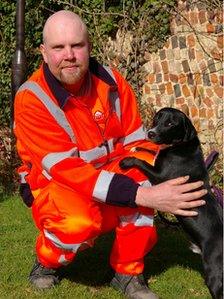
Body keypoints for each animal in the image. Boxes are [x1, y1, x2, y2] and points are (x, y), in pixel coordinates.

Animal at [120, 108, 223, 299]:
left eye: (170, 123)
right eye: (157, 118)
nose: (151, 133)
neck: (180, 145)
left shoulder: (161, 177)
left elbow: (141, 161)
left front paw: (128, 160)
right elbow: (150, 152)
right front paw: (138, 147)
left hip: (213, 273)